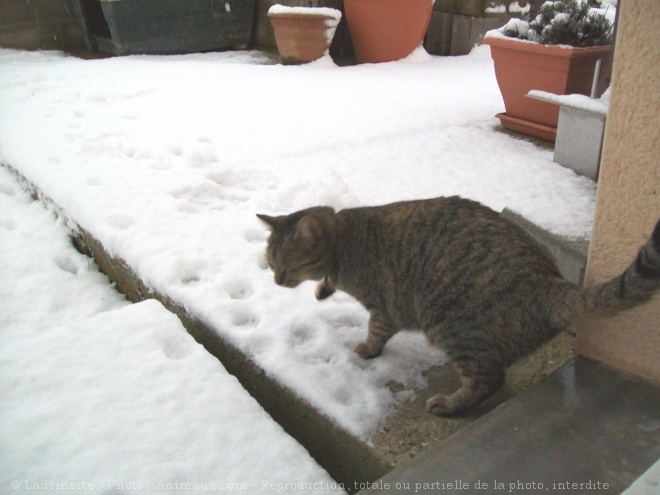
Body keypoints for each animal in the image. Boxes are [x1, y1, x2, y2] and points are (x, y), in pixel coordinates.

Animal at [256, 196, 660, 416]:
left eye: (284, 267)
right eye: (270, 263)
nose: (274, 281)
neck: (343, 242)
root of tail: (551, 285)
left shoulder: (384, 307)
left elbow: (377, 333)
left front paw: (367, 350)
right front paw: (322, 289)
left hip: (451, 325)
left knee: (489, 379)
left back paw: (449, 405)